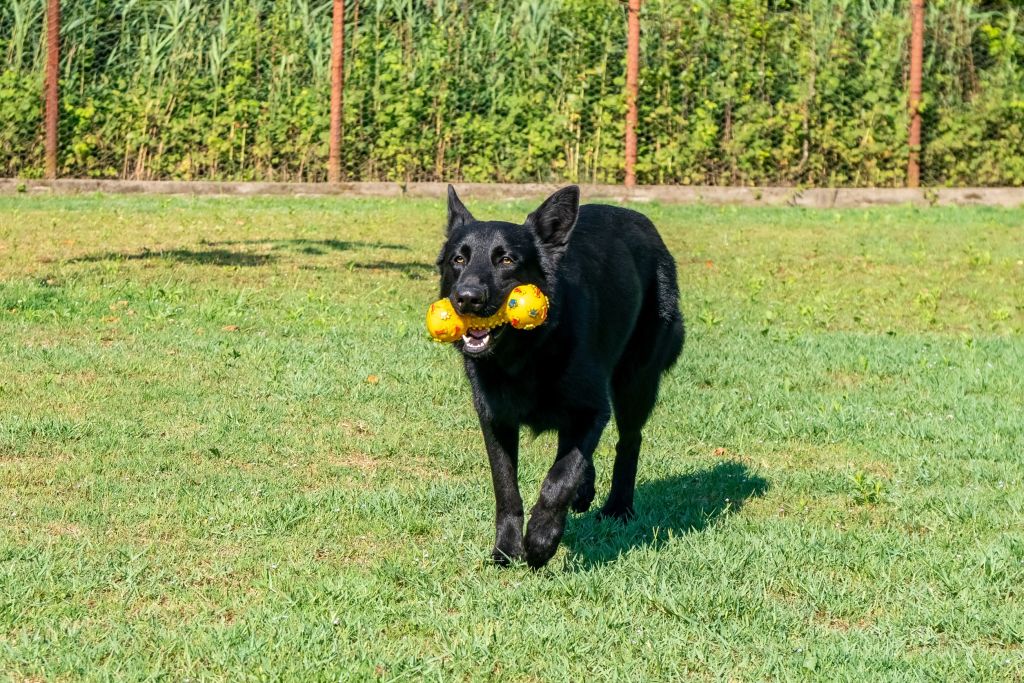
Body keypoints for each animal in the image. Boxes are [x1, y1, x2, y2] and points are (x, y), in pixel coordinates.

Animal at [436, 185, 684, 565]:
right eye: (458, 260)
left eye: (506, 260)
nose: (467, 298)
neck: (529, 353)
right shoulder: (496, 420)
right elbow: (506, 487)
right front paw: (506, 549)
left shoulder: (591, 411)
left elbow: (560, 478)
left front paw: (541, 540)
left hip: (635, 384)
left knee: (629, 441)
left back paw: (618, 508)